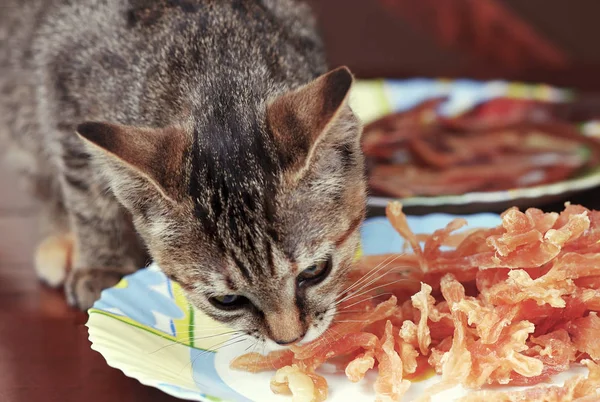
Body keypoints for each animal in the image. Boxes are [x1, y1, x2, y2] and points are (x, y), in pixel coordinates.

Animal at [0, 0, 368, 346]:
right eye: (227, 300)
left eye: (316, 270)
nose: (290, 339)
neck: (217, 74)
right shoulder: (62, 89)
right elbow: (88, 198)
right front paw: (104, 266)